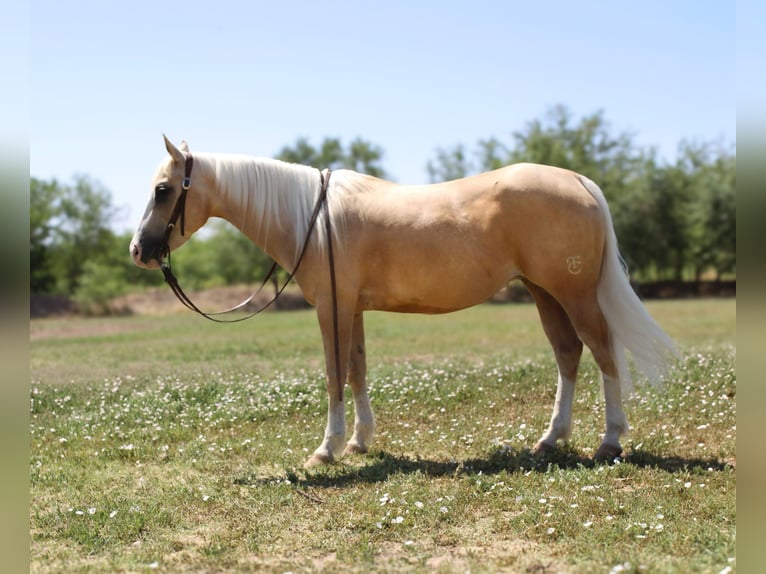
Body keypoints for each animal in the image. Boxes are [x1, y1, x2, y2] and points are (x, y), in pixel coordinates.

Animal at [130, 136, 677, 468]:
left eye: (163, 190)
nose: (139, 251)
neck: (312, 217)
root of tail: (577, 180)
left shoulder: (331, 307)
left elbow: (333, 373)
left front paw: (326, 449)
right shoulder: (351, 307)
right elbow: (356, 370)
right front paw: (358, 441)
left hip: (573, 293)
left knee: (602, 352)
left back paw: (609, 440)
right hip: (545, 293)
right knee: (568, 353)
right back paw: (549, 440)